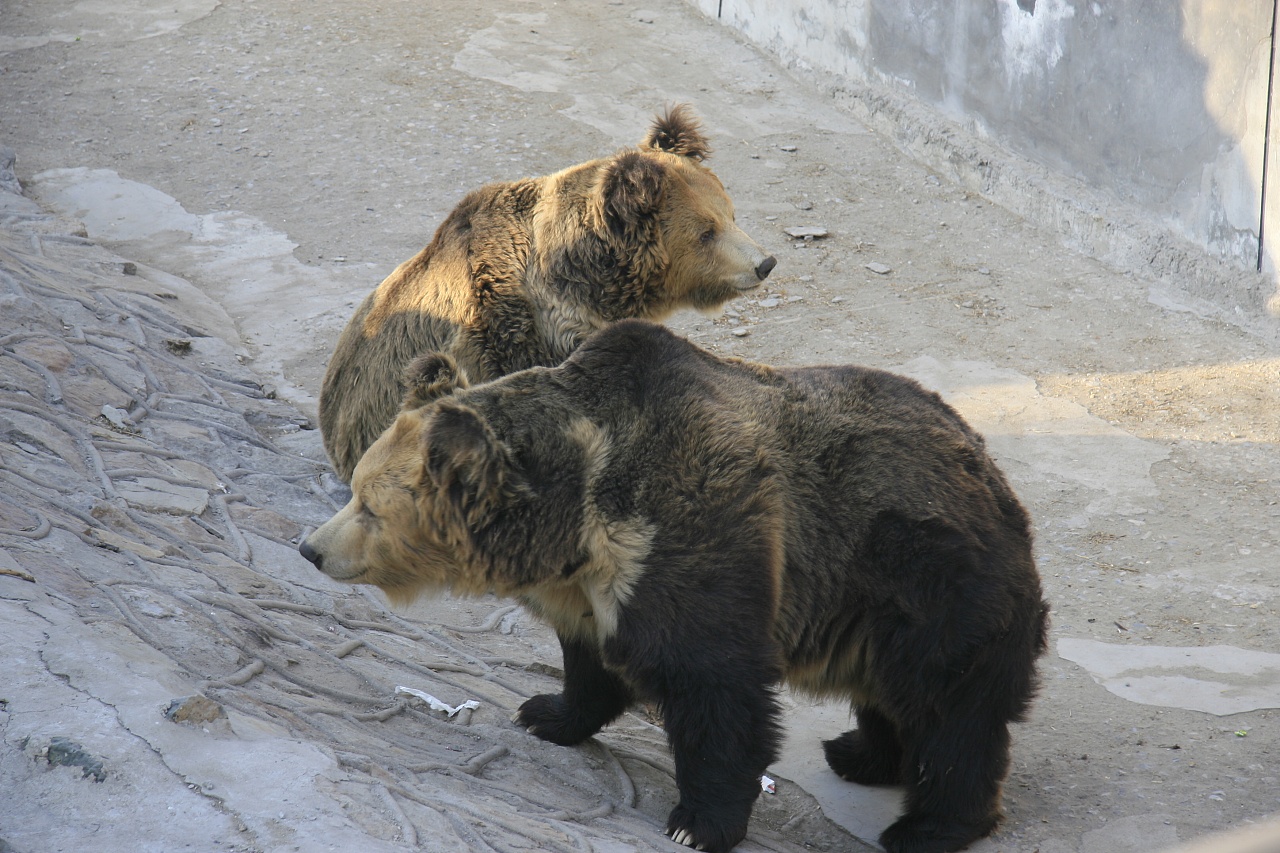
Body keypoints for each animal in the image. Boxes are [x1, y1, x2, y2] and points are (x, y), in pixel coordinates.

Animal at [299, 317, 1049, 850]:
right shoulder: (592, 581)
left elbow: (711, 684)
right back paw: (861, 753)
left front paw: (698, 821)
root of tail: (994, 475)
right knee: (893, 694)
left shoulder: (685, 531)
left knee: (951, 712)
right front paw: (546, 711)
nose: (311, 548)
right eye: (358, 487)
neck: (577, 513)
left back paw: (928, 825)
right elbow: (590, 660)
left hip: (927, 573)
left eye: (368, 504)